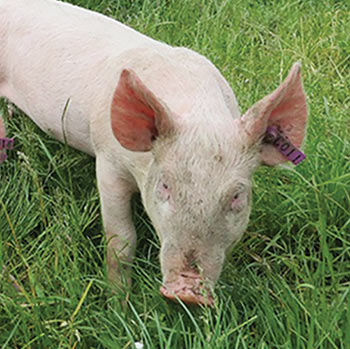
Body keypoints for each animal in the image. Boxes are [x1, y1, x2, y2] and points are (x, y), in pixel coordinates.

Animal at [0, 0, 306, 304]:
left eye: (237, 196)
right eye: (165, 185)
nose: (187, 291)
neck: (200, 117)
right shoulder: (108, 161)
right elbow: (121, 239)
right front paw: (118, 302)